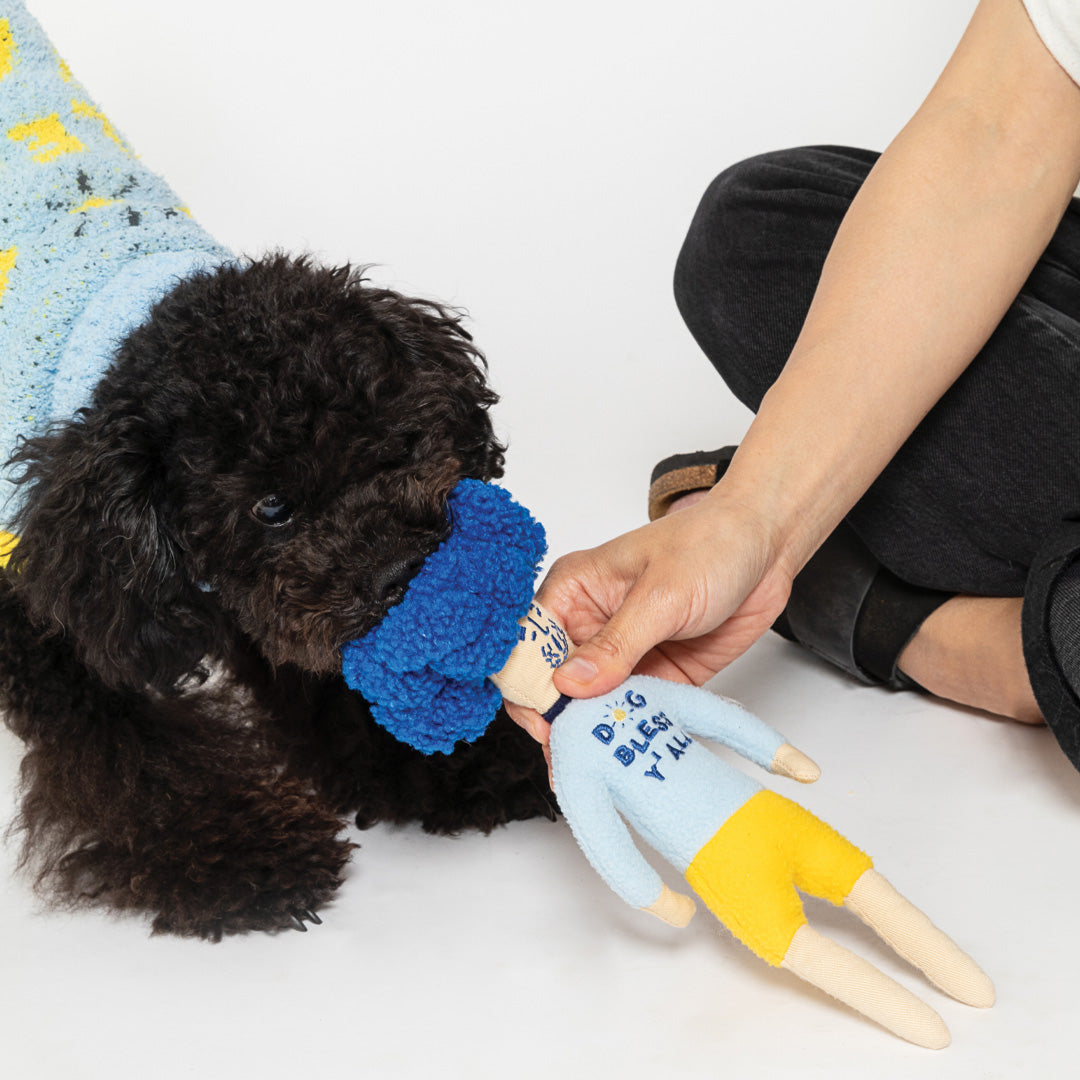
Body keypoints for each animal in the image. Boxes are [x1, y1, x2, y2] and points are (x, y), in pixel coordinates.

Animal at [0, 252, 557, 937]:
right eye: (269, 507)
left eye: (399, 441)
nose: (401, 573)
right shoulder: (58, 627)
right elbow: (134, 756)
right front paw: (250, 856)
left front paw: (485, 760)